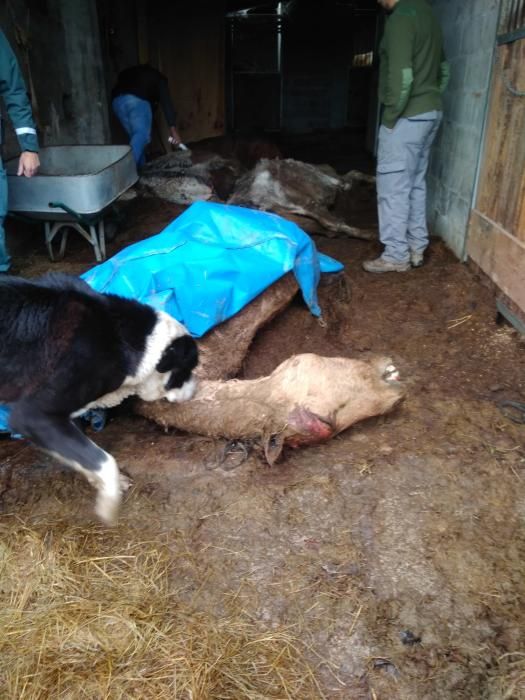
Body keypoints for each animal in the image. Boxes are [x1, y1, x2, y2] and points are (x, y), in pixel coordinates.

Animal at [0, 274, 199, 524]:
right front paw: (109, 505)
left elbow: (88, 455)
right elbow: (104, 460)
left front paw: (108, 484)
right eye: (188, 369)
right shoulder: (33, 415)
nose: (197, 391)